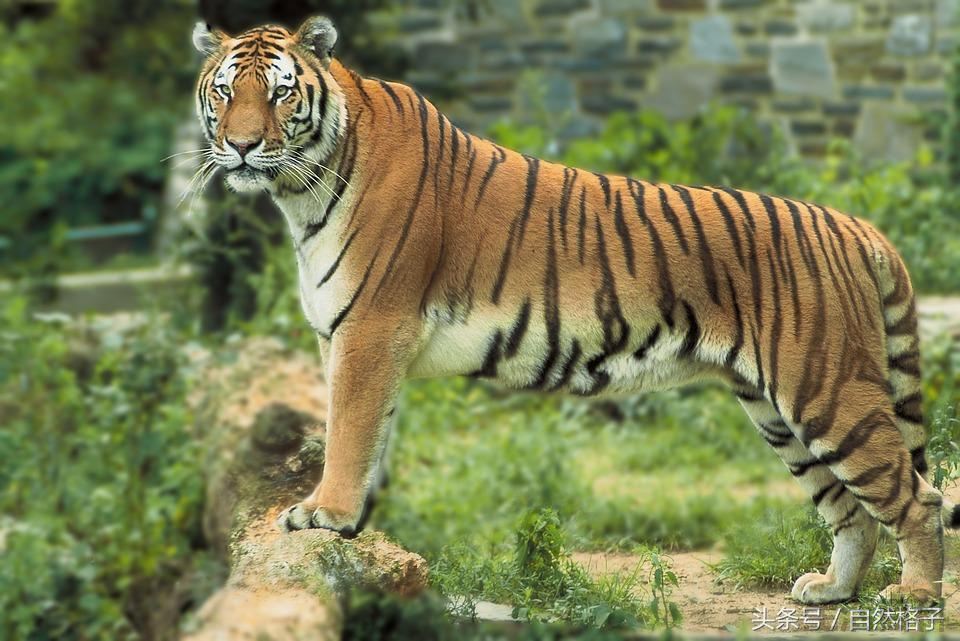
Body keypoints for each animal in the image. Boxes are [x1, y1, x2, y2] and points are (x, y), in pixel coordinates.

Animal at [191, 15, 957, 605]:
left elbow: (347, 430)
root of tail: (855, 225)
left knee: (917, 497)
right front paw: (355, 525)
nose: (242, 145)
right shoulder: (351, 337)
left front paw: (325, 513)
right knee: (851, 508)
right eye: (226, 92)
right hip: (778, 410)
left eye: (280, 94)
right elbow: (368, 432)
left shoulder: (370, 329)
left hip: (828, 390)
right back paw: (832, 590)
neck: (302, 190)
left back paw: (914, 594)